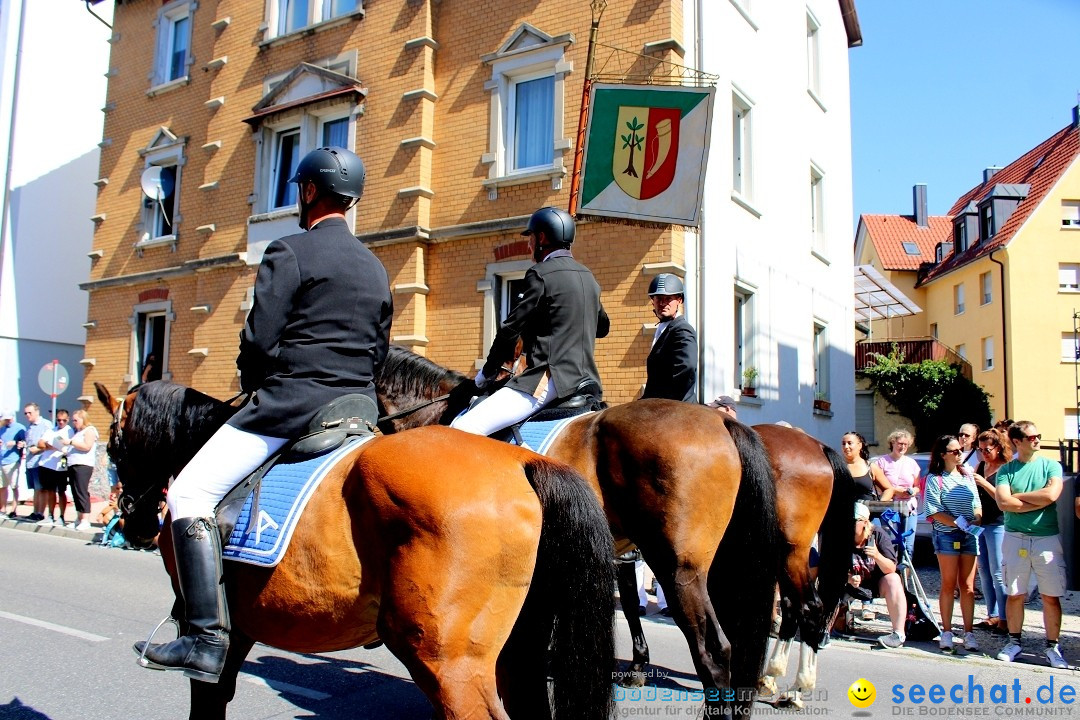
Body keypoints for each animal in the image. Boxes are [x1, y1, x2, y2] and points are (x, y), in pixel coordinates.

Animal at [92, 386, 617, 720]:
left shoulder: (218, 626)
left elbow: (209, 694)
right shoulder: (237, 627)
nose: (133, 521)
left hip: (449, 662)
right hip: (516, 649)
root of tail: (524, 461)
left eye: (115, 446)